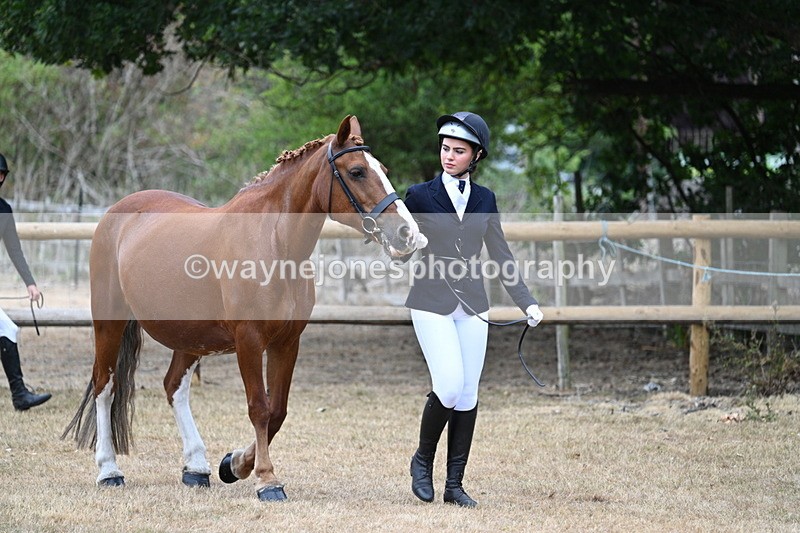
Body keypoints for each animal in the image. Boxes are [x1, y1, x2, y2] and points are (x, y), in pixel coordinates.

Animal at [62, 115, 423, 501]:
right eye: (356, 171)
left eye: (383, 170)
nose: (407, 233)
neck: (274, 244)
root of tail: (116, 214)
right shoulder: (249, 341)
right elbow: (259, 408)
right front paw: (266, 479)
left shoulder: (286, 343)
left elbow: (277, 410)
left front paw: (234, 464)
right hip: (109, 323)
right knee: (105, 386)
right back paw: (109, 470)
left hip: (190, 337)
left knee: (174, 386)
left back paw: (196, 467)